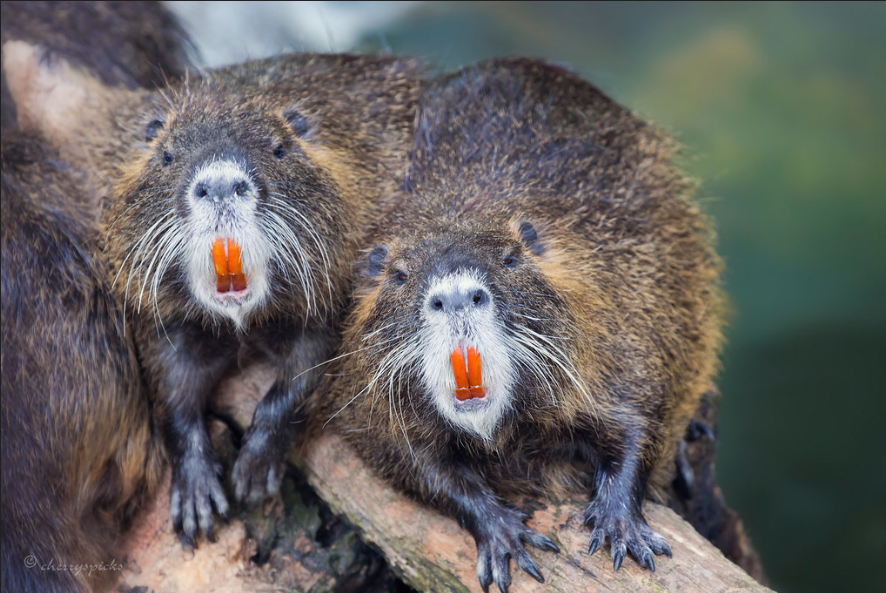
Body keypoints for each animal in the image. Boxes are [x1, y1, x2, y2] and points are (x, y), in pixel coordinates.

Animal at [2, 39, 426, 544]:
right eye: (166, 155)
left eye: (280, 148)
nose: (221, 183)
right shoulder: (163, 321)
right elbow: (171, 391)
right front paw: (197, 503)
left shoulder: (336, 298)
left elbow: (308, 372)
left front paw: (253, 474)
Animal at [308, 56, 724, 592]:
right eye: (397, 274)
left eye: (510, 258)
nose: (456, 293)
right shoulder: (368, 407)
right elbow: (417, 467)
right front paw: (506, 536)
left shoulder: (623, 323)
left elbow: (639, 418)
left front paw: (622, 529)